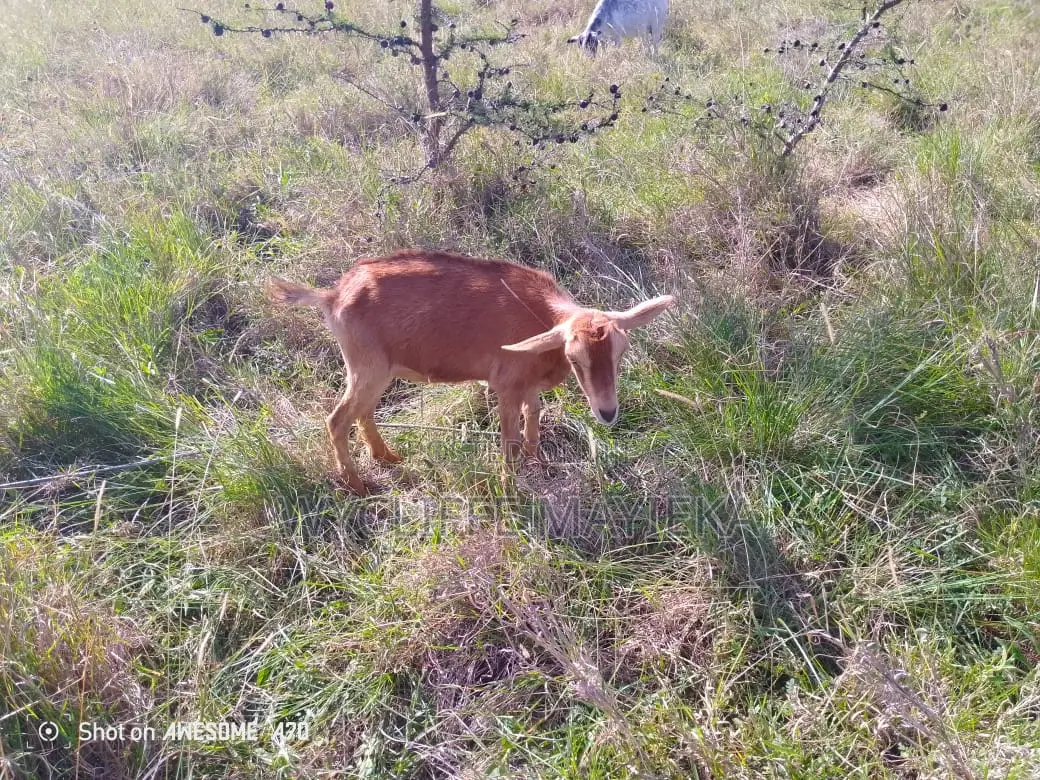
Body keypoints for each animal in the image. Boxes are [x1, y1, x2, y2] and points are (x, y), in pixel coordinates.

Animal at [268, 250, 675, 496]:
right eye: (576, 359)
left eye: (621, 352)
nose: (607, 412)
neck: (540, 316)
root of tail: (332, 296)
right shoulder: (506, 385)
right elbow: (509, 440)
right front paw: (509, 487)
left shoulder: (528, 386)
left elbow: (534, 419)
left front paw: (539, 463)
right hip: (366, 367)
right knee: (338, 419)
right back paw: (358, 485)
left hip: (377, 372)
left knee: (363, 412)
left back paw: (387, 458)